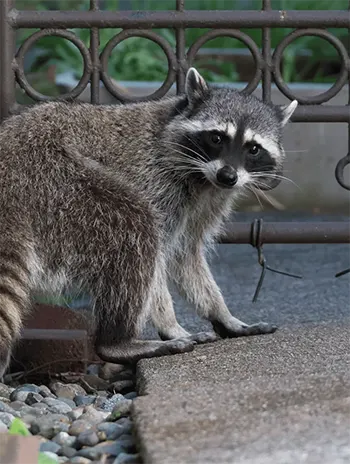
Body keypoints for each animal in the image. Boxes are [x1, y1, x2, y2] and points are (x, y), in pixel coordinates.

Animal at [0, 67, 296, 376]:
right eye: (216, 138)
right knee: (135, 228)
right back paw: (117, 341)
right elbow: (159, 260)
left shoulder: (207, 202)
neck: (202, 177)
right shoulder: (153, 180)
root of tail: (10, 178)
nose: (228, 176)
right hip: (60, 182)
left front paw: (222, 314)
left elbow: (186, 256)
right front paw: (170, 324)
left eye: (253, 148)